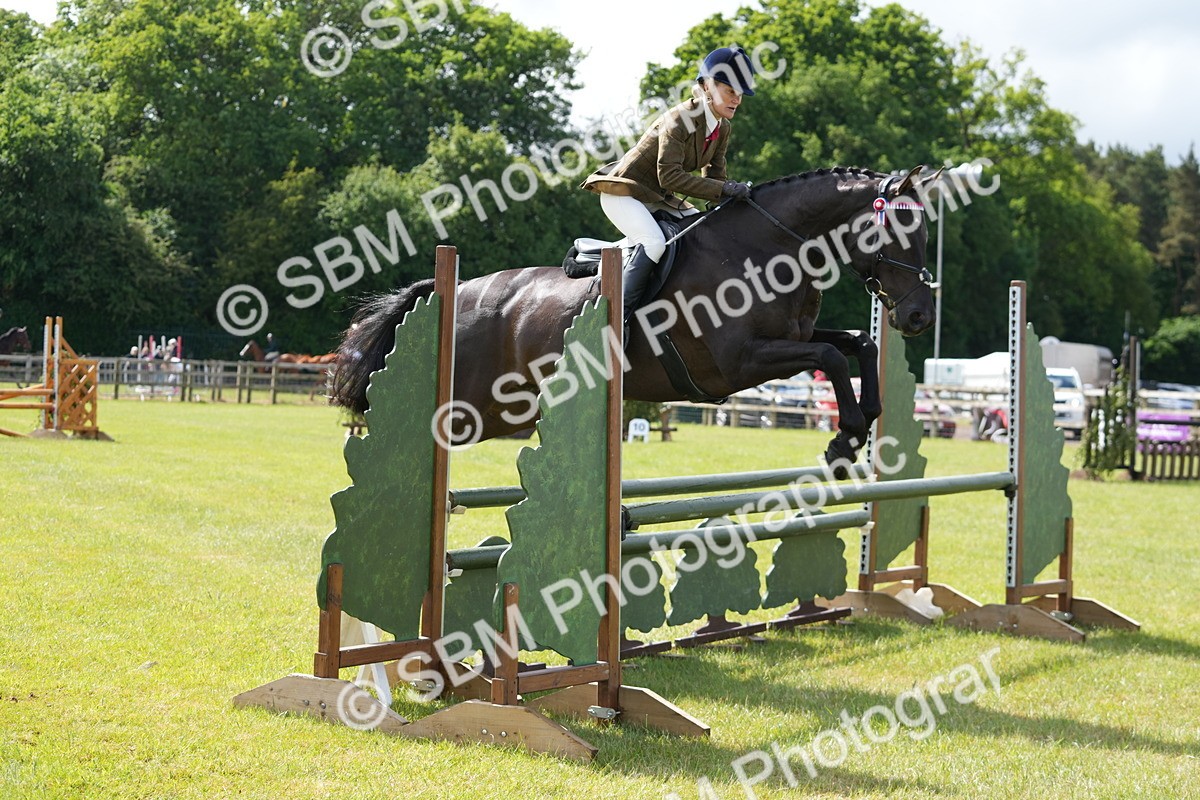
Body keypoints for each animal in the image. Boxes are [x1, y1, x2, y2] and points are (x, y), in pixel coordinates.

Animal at [330, 166, 939, 469]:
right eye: (898, 228)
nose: (918, 316)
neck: (767, 247)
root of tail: (453, 292)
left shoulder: (790, 339)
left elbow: (857, 343)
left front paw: (862, 426)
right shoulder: (737, 365)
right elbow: (832, 354)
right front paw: (845, 440)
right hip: (471, 406)